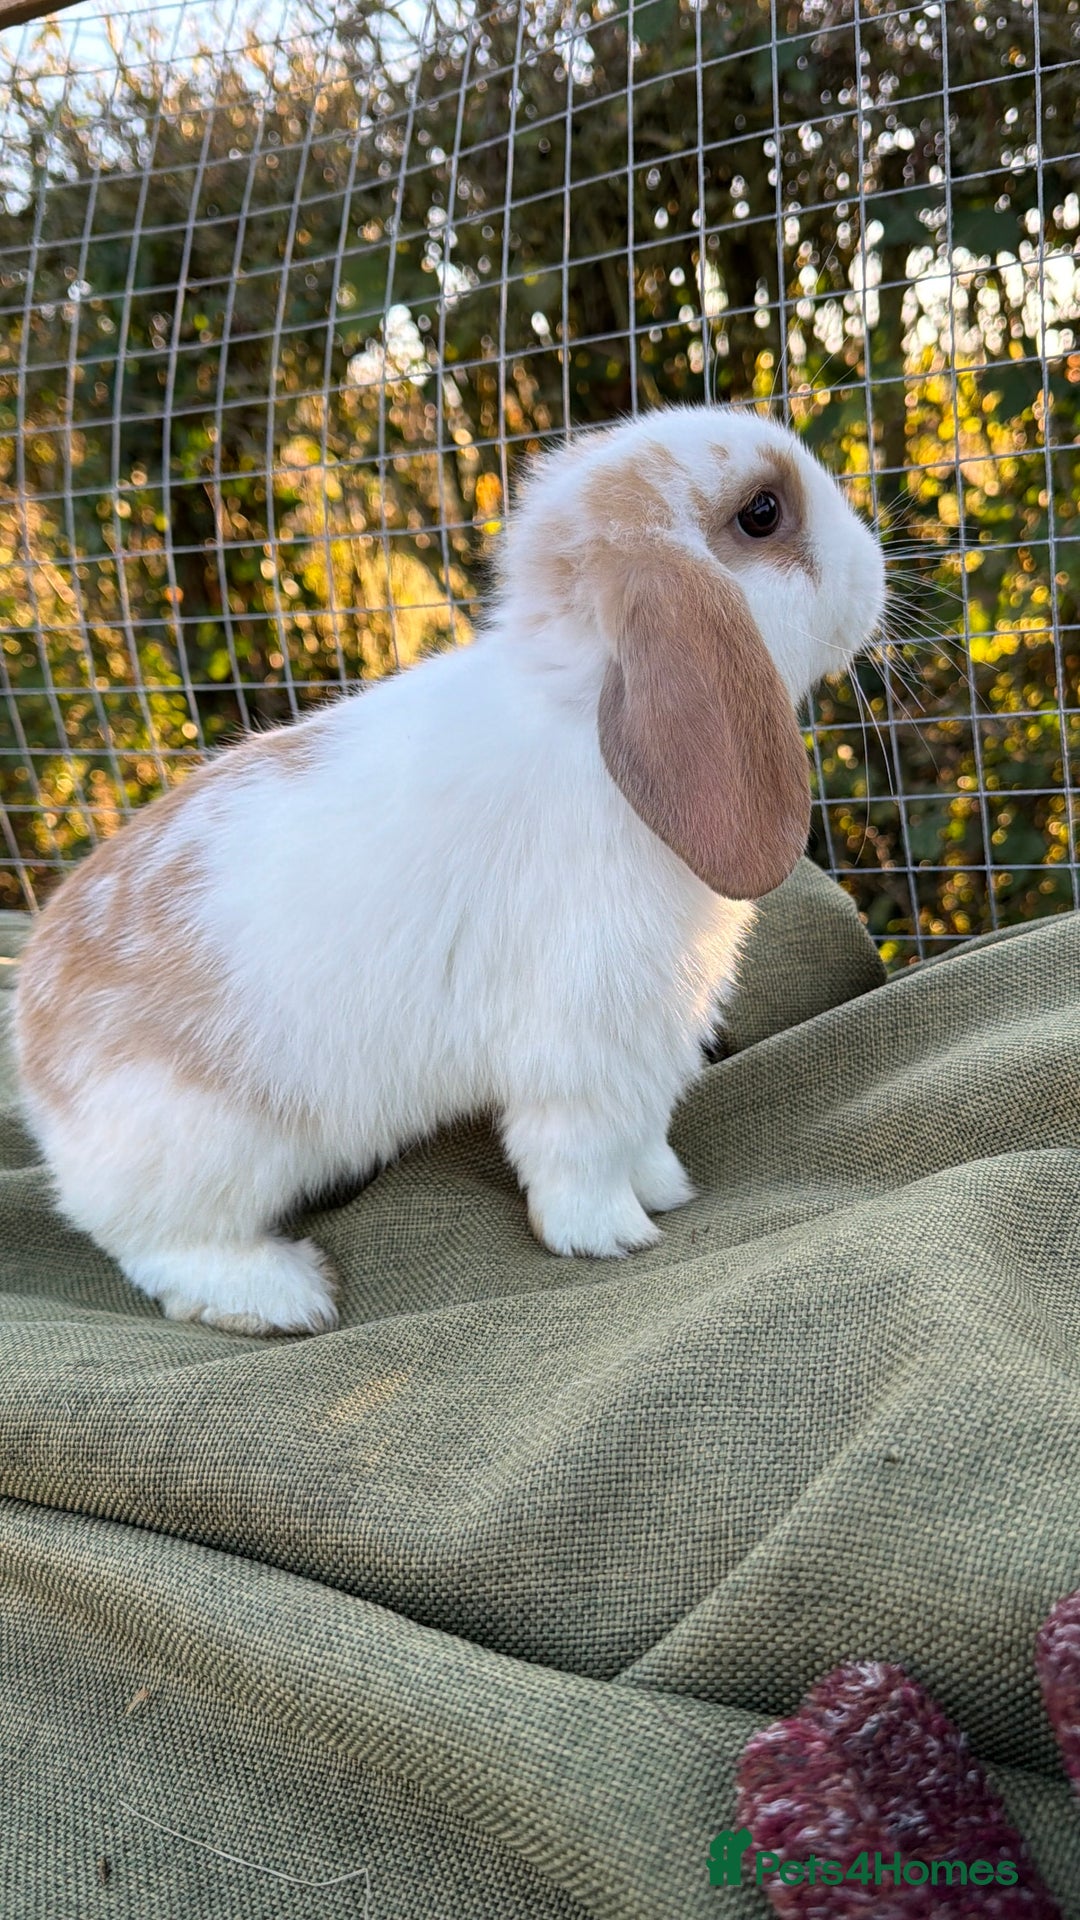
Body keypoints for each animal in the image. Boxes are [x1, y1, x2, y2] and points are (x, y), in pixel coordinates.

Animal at [13, 405, 885, 1334]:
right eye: (762, 514)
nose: (874, 563)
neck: (586, 715)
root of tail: (32, 1047)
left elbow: (641, 1133)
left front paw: (666, 1187)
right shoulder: (584, 1035)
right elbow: (578, 1152)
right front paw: (611, 1234)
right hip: (205, 1155)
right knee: (158, 1248)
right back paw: (284, 1294)